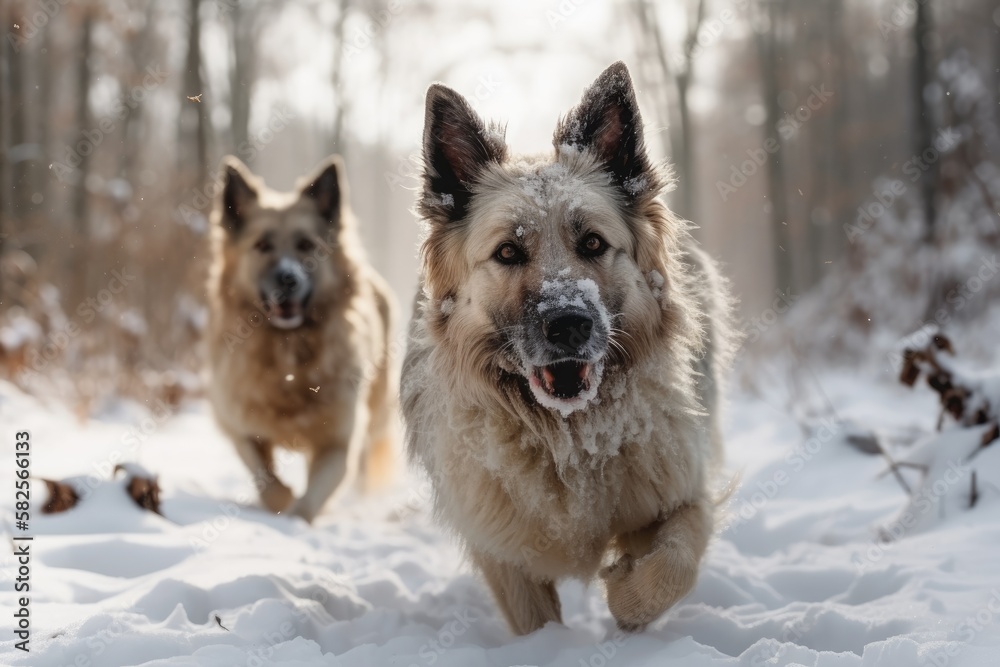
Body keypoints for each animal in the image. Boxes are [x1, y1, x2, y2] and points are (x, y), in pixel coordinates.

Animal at [206, 155, 394, 520]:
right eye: (262, 245)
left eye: (306, 245)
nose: (287, 279)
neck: (287, 357)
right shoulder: (240, 426)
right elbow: (267, 482)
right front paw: (281, 502)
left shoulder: (339, 440)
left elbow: (309, 502)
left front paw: (297, 517)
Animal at [402, 61, 740, 632]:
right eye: (508, 252)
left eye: (593, 244)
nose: (569, 325)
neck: (569, 438)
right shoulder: (501, 546)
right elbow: (535, 619)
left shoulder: (678, 490)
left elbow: (672, 566)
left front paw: (626, 595)